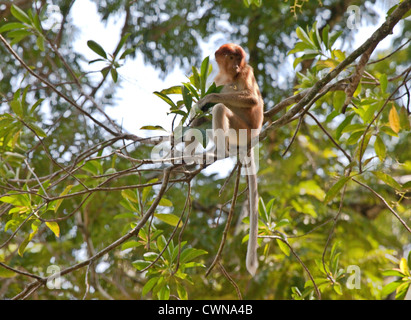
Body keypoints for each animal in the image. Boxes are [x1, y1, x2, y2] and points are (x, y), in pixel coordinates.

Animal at [197, 43, 264, 276]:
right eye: (231, 57)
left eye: (239, 59)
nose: (236, 66)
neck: (229, 75)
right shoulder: (217, 78)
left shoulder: (246, 72)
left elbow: (251, 98)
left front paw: (208, 98)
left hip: (243, 128)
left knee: (221, 108)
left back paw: (218, 150)